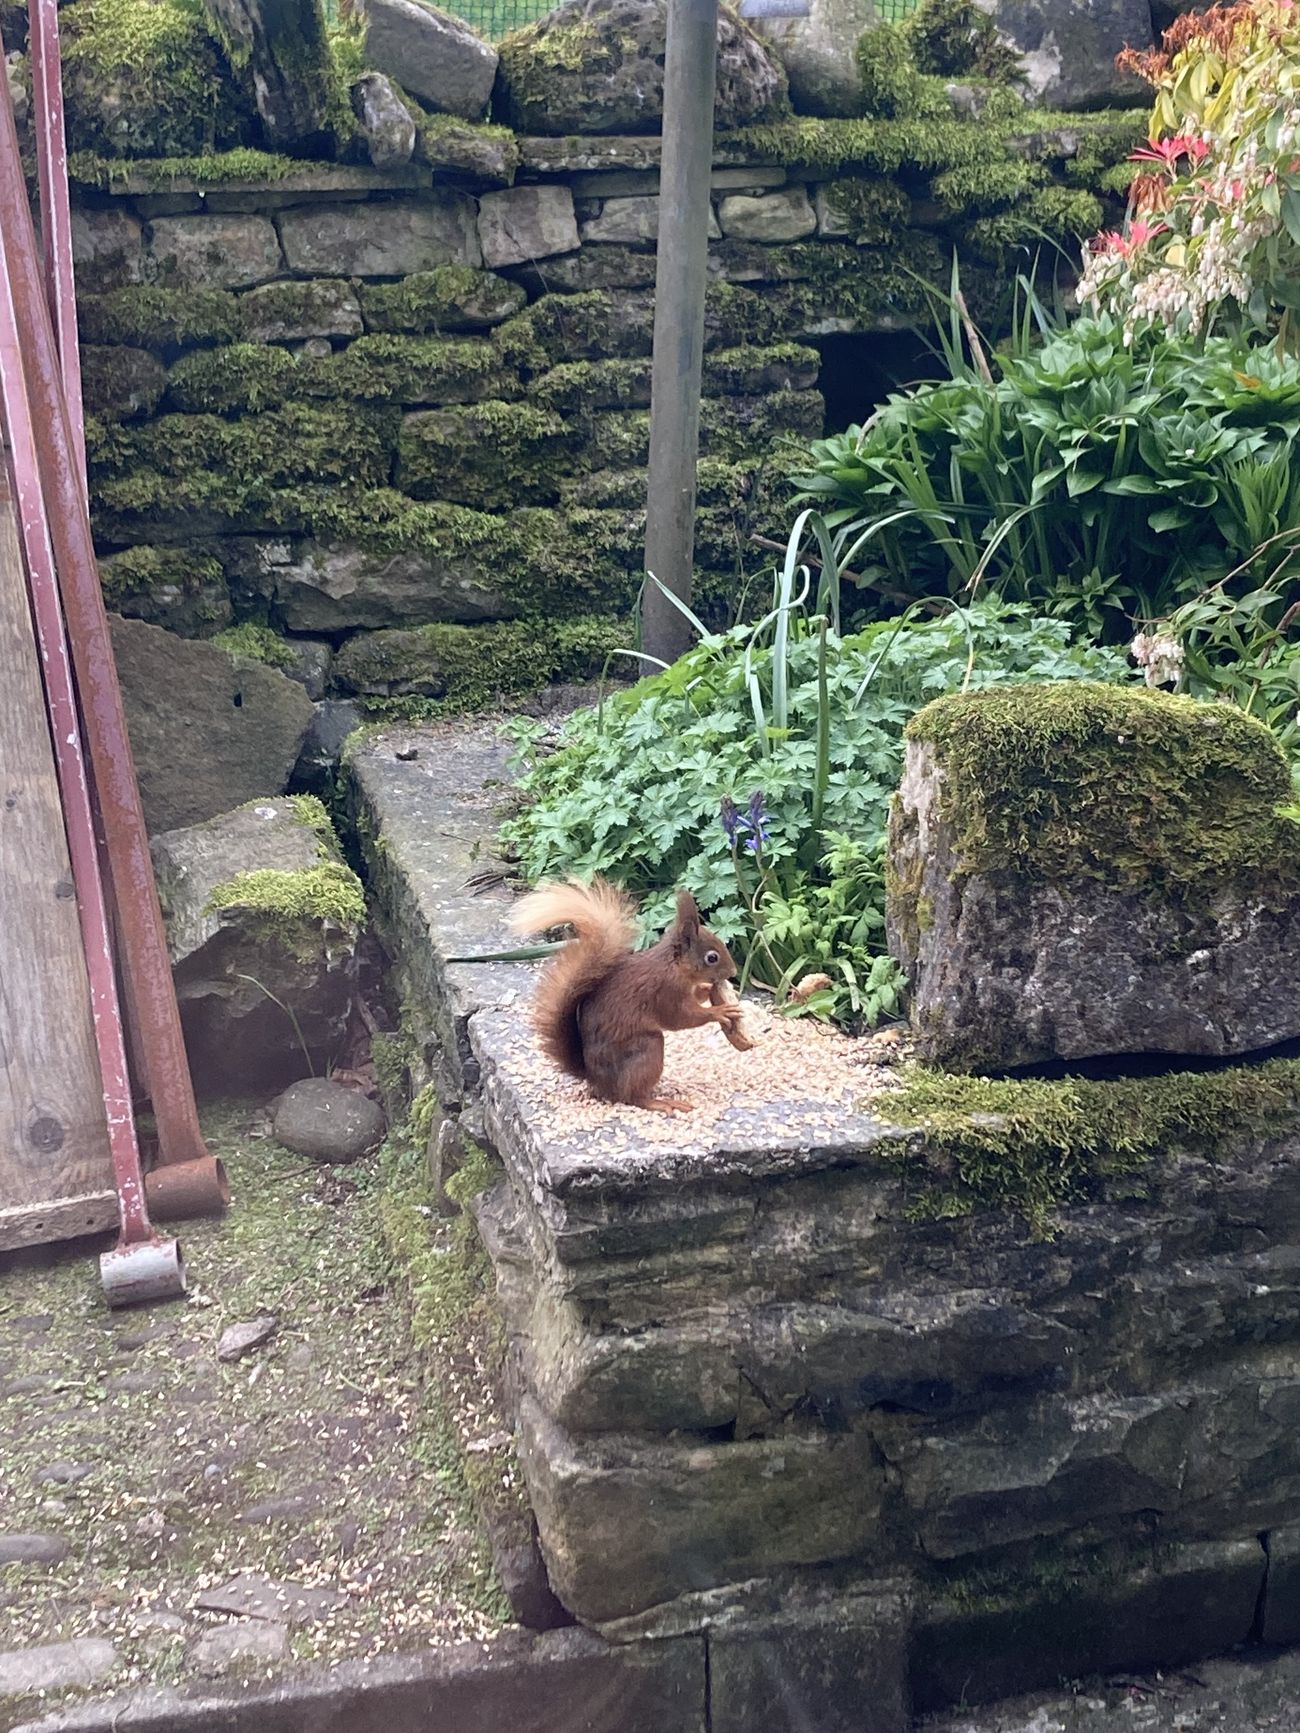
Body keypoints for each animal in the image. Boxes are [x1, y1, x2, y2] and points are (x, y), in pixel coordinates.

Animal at [508, 877, 752, 1113]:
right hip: (647, 1049)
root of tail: (596, 1080)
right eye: (712, 957)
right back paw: (660, 1103)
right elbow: (680, 1018)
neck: (673, 966)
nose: (733, 973)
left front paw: (709, 990)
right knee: (632, 1097)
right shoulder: (665, 992)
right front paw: (720, 1011)